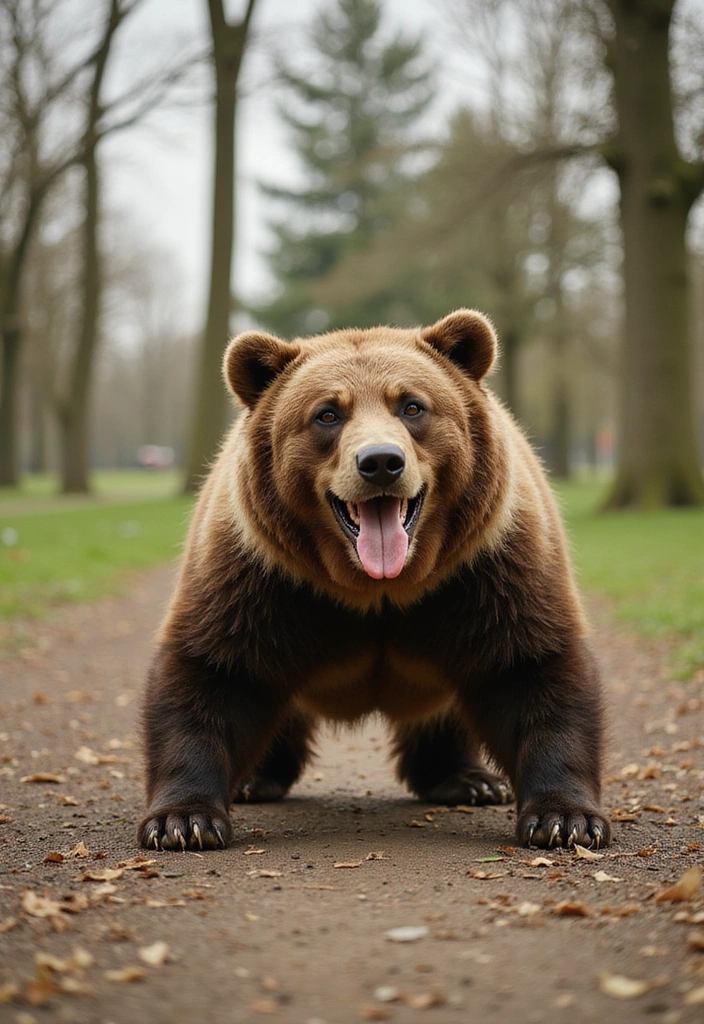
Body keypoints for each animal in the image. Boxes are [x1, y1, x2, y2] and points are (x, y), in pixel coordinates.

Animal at [138, 309, 610, 852]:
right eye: (327, 414)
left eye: (412, 405)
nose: (381, 462)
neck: (378, 587)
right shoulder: (263, 575)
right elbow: (215, 669)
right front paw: (183, 821)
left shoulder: (485, 569)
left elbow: (531, 665)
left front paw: (565, 819)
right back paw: (258, 779)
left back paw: (468, 780)